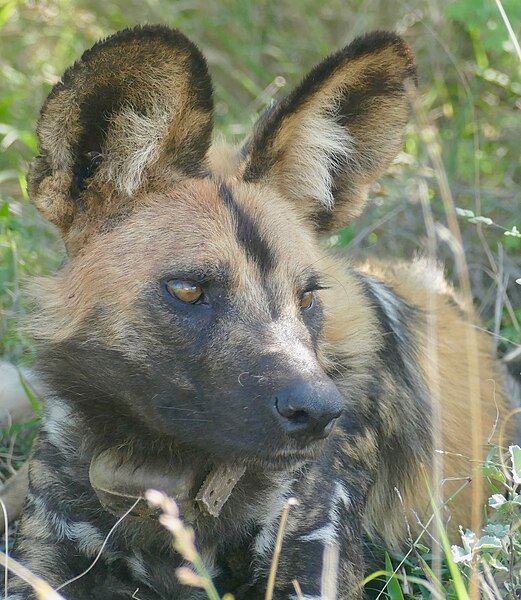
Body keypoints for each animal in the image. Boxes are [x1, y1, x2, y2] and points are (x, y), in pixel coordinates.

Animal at [9, 24, 520, 600]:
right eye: (188, 290)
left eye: (308, 297)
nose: (320, 411)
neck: (161, 468)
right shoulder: (42, 562)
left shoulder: (310, 561)